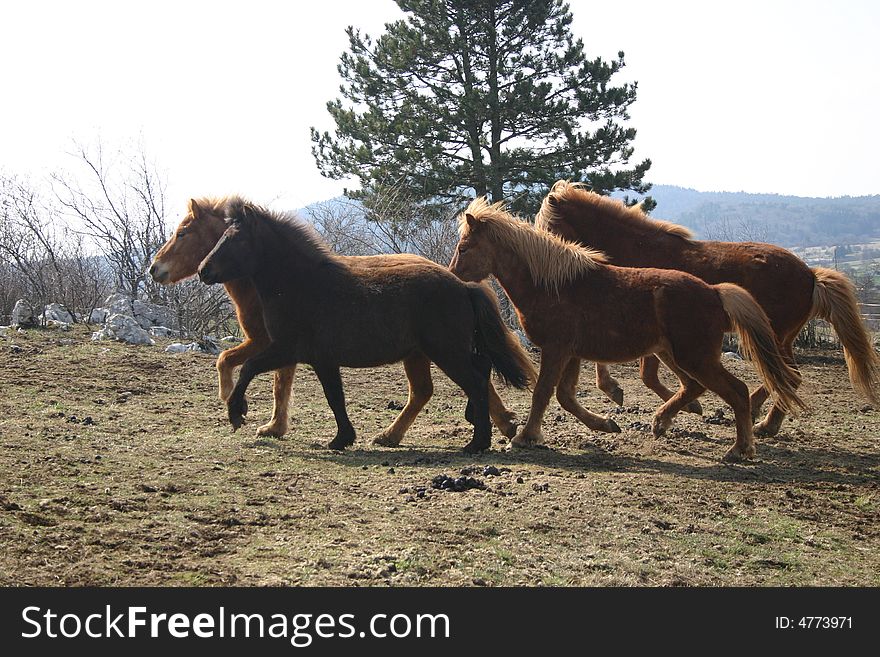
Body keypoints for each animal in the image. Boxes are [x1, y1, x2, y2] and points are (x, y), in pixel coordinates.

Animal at [149, 197, 528, 444]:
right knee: (463, 380)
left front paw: (237, 412)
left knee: (475, 382)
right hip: (431, 353)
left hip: (445, 352)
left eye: (235, 238)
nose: (203, 270)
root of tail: (464, 286)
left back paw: (478, 442)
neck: (300, 284)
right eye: (220, 237)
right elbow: (334, 397)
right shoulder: (320, 358)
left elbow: (249, 369)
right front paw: (342, 438)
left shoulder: (284, 348)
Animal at [450, 200, 808, 462]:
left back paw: (740, 447)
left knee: (737, 390)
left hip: (696, 357)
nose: (452, 276)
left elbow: (542, 393)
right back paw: (663, 422)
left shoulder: (556, 349)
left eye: (464, 247)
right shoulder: (571, 353)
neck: (553, 285)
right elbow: (565, 396)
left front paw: (524, 437)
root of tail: (715, 292)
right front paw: (606, 424)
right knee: (696, 387)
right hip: (674, 354)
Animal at [532, 179, 876, 436]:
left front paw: (682, 407)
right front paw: (621, 391)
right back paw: (762, 419)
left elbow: (652, 374)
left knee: (787, 377)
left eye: (550, 225)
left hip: (773, 338)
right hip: (779, 339)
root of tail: (811, 275)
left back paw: (760, 419)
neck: (637, 248)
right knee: (787, 377)